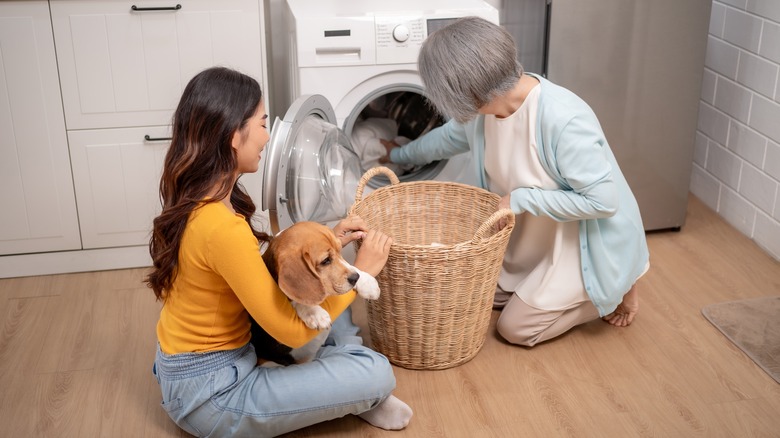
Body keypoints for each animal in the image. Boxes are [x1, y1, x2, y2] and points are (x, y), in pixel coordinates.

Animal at [251, 221, 380, 364]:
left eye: (340, 249)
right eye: (325, 260)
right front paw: (315, 313)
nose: (355, 278)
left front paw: (367, 282)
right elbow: (297, 300)